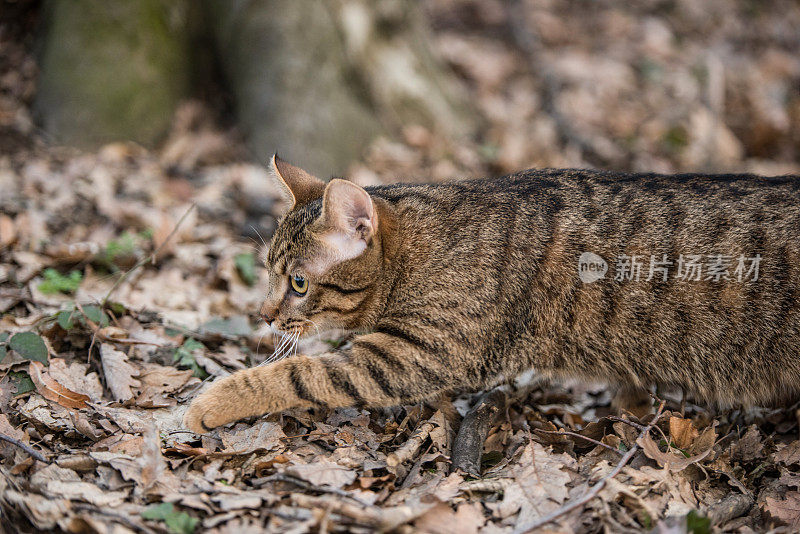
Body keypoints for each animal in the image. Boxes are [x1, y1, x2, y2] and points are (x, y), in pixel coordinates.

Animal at [184, 156, 800, 436]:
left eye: (298, 284)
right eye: (269, 274)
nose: (262, 314)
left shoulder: (413, 356)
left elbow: (301, 373)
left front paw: (214, 402)